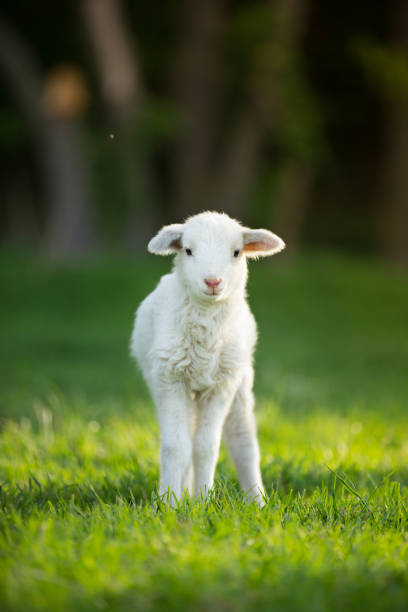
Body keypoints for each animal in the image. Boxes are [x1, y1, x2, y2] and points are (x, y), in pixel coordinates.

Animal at [130, 213, 284, 504]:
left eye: (236, 252)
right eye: (188, 250)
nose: (213, 282)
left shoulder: (221, 385)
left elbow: (206, 447)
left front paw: (203, 501)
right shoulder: (170, 380)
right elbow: (176, 446)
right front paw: (170, 503)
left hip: (240, 382)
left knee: (243, 441)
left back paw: (257, 501)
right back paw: (183, 492)